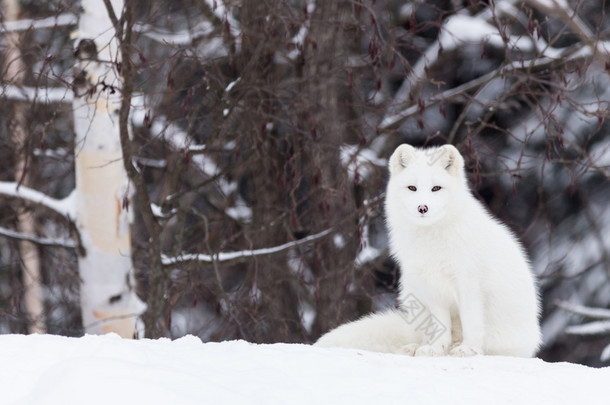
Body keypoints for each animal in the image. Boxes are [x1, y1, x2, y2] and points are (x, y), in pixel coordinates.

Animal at [316, 144, 540, 356]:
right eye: (412, 188)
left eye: (436, 188)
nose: (422, 208)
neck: (432, 241)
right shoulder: (432, 287)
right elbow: (441, 326)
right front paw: (436, 348)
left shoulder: (468, 284)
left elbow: (471, 322)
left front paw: (468, 348)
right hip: (412, 289)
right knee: (425, 335)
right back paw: (418, 347)